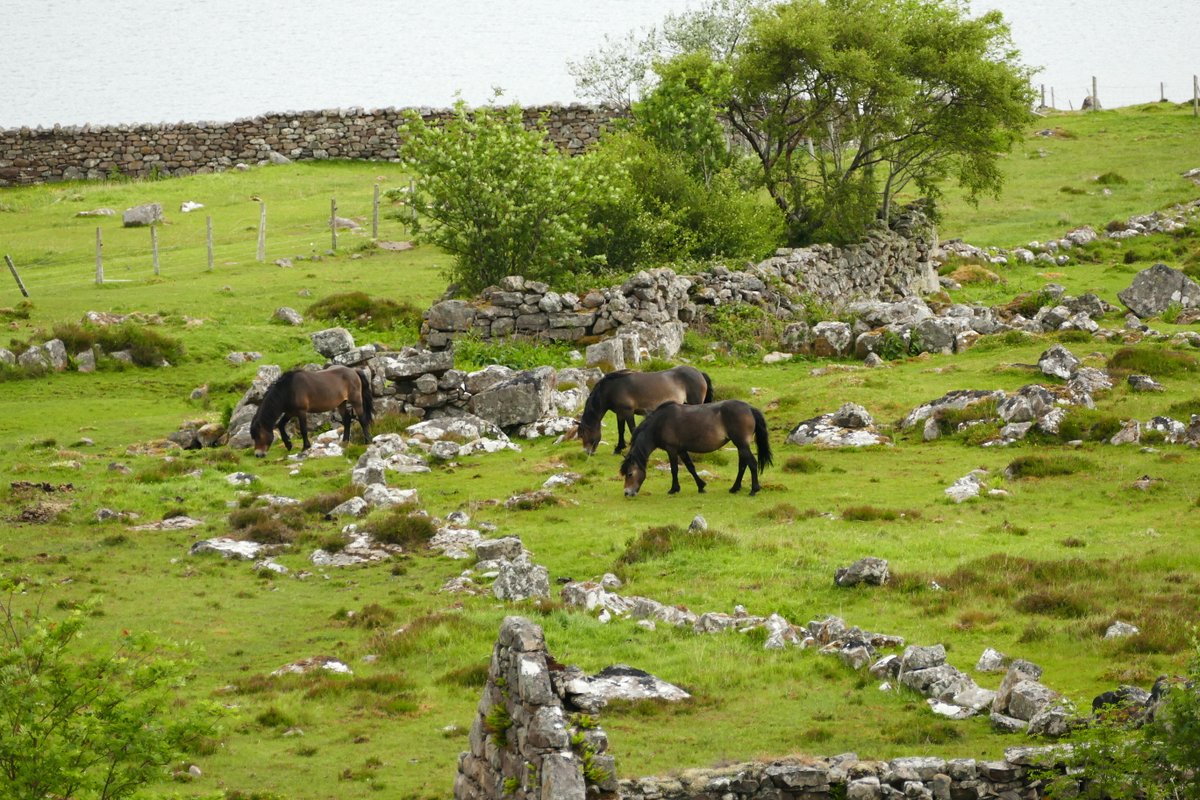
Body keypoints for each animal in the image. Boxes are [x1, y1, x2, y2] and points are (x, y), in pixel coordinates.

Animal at [573, 365, 713, 455]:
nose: (587, 452)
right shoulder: (620, 413)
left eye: (583, 434)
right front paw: (618, 449)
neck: (611, 389)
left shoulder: (628, 412)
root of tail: (699, 373)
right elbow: (621, 430)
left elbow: (632, 429)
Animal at [619, 400, 772, 497]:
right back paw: (735, 488)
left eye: (630, 474)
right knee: (743, 465)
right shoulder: (681, 450)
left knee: (752, 463)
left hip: (741, 444)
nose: (627, 493)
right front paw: (701, 486)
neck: (660, 423)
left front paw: (674, 489)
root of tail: (749, 408)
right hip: (741, 445)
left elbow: (674, 469)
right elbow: (690, 467)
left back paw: (753, 490)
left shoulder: (672, 449)